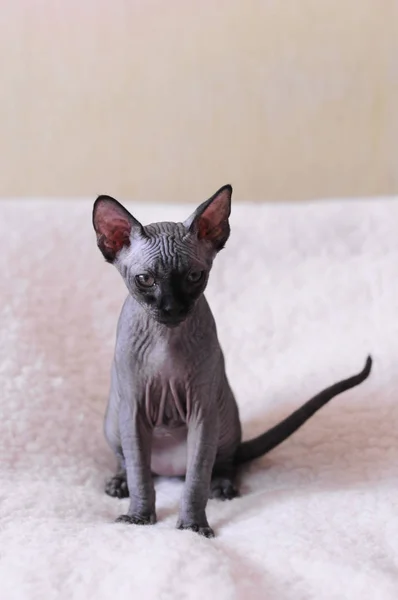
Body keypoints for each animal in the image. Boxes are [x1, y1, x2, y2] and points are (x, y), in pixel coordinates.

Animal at [91, 185, 372, 536]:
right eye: (145, 280)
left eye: (194, 276)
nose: (171, 308)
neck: (165, 339)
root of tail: (169, 469)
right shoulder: (134, 410)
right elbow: (141, 476)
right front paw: (139, 518)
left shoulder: (202, 412)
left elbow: (196, 480)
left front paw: (193, 526)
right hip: (115, 422)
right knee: (130, 462)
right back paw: (119, 483)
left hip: (221, 423)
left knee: (221, 463)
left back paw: (222, 487)